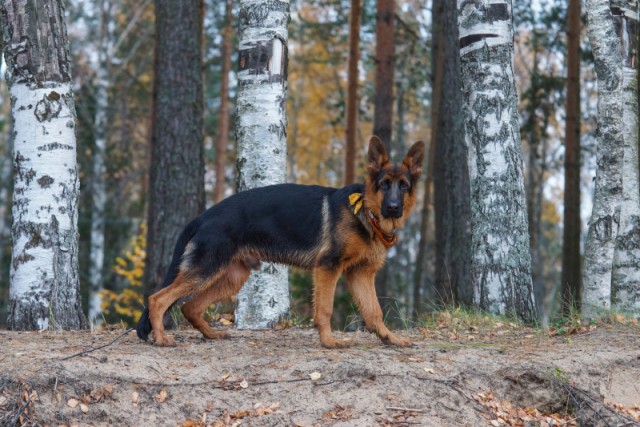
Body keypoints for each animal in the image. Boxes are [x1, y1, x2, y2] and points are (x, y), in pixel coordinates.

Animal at [136, 135, 424, 350]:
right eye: (384, 185)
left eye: (403, 185)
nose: (393, 208)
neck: (365, 212)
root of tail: (204, 215)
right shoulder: (328, 268)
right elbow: (325, 309)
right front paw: (328, 341)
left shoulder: (360, 274)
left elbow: (374, 311)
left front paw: (389, 338)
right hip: (206, 270)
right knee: (158, 299)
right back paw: (160, 338)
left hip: (231, 277)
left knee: (190, 307)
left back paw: (211, 334)